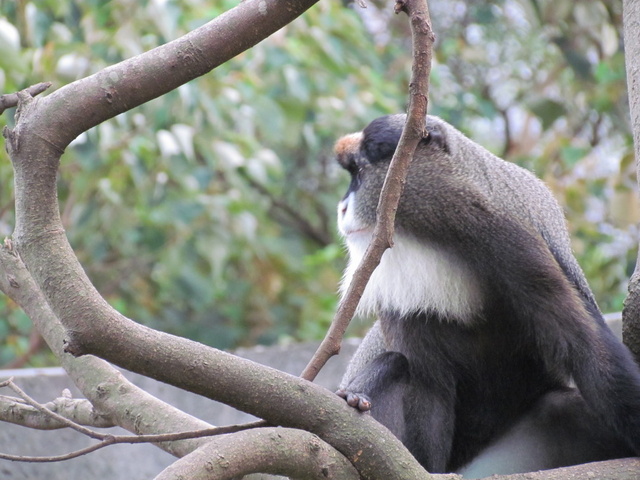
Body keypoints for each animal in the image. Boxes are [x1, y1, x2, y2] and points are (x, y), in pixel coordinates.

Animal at [336, 113, 640, 476]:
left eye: (359, 172)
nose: (341, 207)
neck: (439, 236)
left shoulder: (511, 239)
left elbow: (587, 350)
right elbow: (428, 383)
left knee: (560, 406)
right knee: (393, 363)